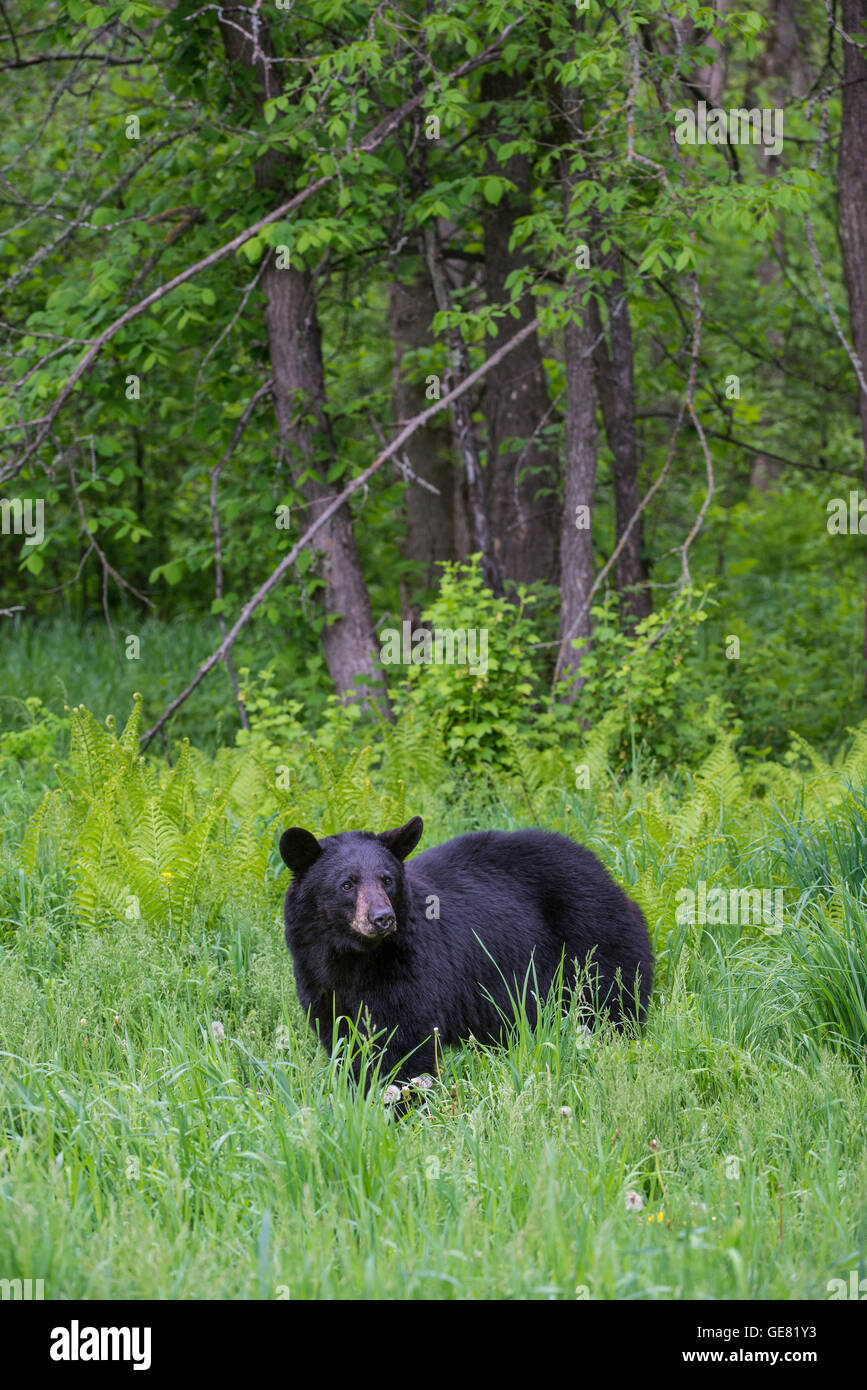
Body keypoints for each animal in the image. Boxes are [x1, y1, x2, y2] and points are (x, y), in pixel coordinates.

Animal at [280, 811, 653, 1084]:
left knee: (609, 998)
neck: (352, 959)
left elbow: (403, 1041)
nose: (382, 918)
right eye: (347, 884)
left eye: (387, 879)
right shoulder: (318, 980)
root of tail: (603, 870)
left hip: (592, 936)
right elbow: (344, 1043)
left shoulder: (409, 967)